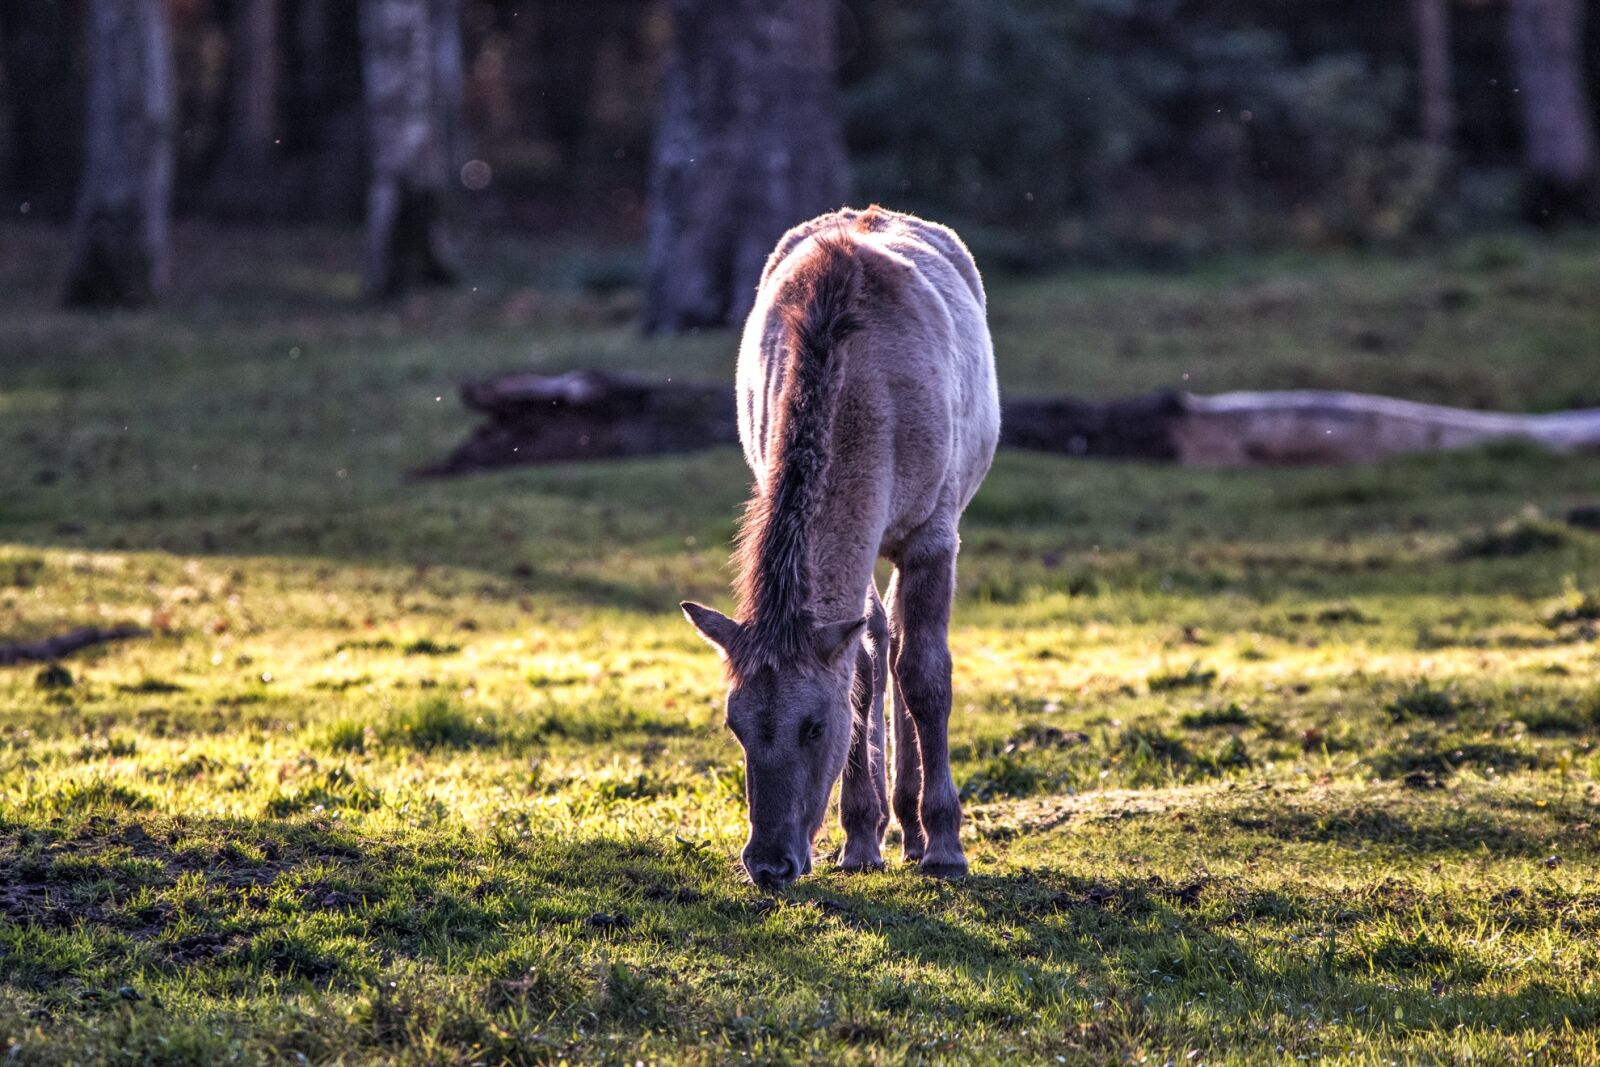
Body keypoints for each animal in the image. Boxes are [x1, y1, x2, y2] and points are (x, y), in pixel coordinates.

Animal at [678, 204, 998, 889]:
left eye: (813, 726)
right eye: (734, 724)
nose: (769, 864)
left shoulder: (933, 532)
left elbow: (927, 676)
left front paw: (945, 845)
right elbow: (864, 667)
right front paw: (860, 838)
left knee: (903, 651)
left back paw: (916, 831)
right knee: (877, 641)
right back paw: (884, 826)